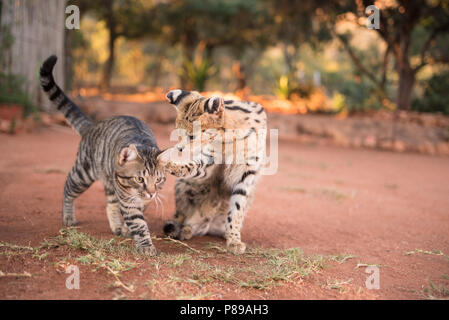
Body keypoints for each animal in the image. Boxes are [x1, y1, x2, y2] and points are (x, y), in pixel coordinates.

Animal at [39, 55, 166, 255]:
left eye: (159, 180)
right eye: (139, 179)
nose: (152, 193)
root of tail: (92, 126)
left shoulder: (140, 200)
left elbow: (136, 215)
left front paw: (127, 229)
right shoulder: (128, 200)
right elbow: (138, 224)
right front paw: (146, 246)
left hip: (109, 182)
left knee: (110, 204)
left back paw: (116, 226)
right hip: (83, 173)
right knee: (68, 186)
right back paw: (68, 216)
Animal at [158, 89, 266, 254]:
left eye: (191, 136)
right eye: (178, 133)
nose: (179, 149)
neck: (230, 137)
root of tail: (208, 225)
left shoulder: (246, 173)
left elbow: (237, 209)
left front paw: (234, 239)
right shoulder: (210, 161)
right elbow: (193, 166)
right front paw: (171, 164)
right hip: (183, 185)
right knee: (180, 217)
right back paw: (186, 229)